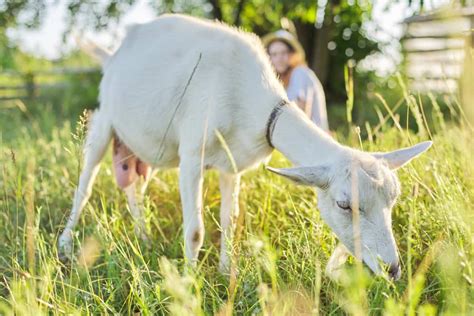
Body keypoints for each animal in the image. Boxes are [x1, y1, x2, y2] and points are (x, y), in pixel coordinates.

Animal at [57, 14, 432, 278]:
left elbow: (230, 218)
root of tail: (112, 54)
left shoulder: (231, 164)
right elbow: (195, 230)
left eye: (394, 199)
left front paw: (226, 272)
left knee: (134, 186)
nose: (392, 269)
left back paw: (144, 237)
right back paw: (65, 244)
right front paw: (190, 282)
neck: (253, 102)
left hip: (141, 147)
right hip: (105, 119)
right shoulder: (192, 155)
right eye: (344, 204)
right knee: (86, 182)